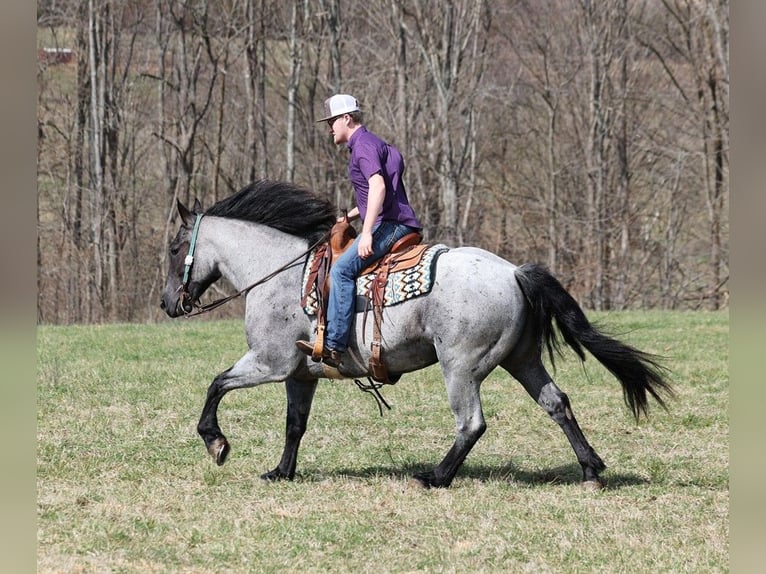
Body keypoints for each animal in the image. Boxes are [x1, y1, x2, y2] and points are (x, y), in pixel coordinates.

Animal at [160, 180, 672, 490]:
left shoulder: (270, 362)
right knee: (557, 403)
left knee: (471, 424)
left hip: (461, 367)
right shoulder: (299, 374)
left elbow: (216, 384)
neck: (278, 274)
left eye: (174, 248)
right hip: (521, 359)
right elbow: (295, 425)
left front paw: (216, 443)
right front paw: (281, 472)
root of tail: (513, 272)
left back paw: (435, 476)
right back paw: (591, 469)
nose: (169, 303)